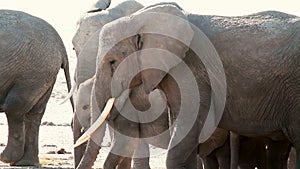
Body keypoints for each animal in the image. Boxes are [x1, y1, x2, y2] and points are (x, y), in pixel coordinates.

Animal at [0, 9, 72, 166]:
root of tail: (61, 45)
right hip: (45, 75)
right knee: (34, 113)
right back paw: (26, 163)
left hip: (32, 73)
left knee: (14, 108)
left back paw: (7, 158)